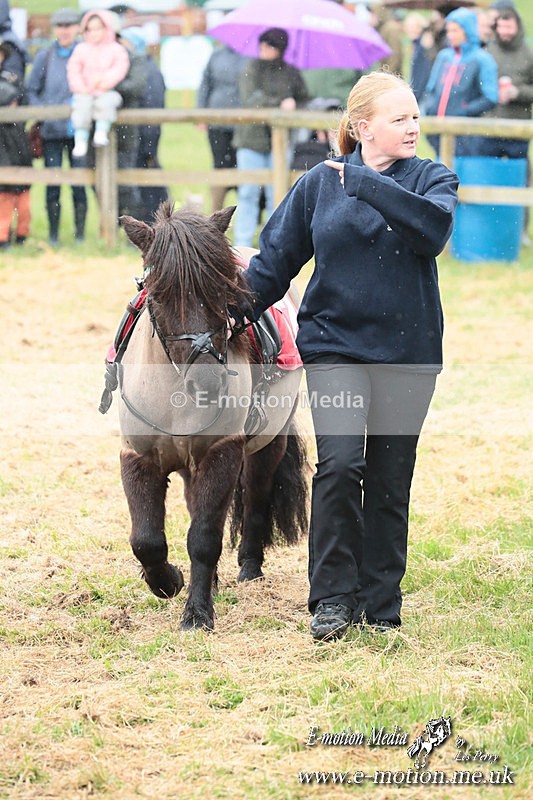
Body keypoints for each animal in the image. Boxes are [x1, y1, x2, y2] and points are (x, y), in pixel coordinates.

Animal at [114, 201, 309, 631]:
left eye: (225, 290)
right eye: (158, 294)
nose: (208, 382)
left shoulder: (221, 453)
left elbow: (204, 537)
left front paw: (197, 613)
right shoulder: (138, 457)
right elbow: (146, 539)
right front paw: (169, 581)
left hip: (268, 444)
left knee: (255, 496)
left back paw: (249, 567)